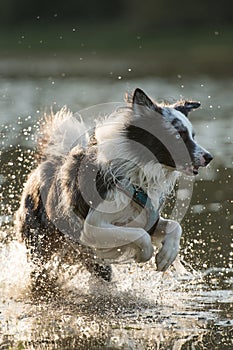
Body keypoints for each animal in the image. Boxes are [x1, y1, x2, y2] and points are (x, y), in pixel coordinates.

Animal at [15, 89, 213, 292]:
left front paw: (166, 256)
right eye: (178, 135)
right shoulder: (92, 227)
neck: (136, 176)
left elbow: (174, 226)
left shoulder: (147, 219)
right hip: (40, 247)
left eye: (192, 135)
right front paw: (143, 254)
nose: (209, 157)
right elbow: (140, 236)